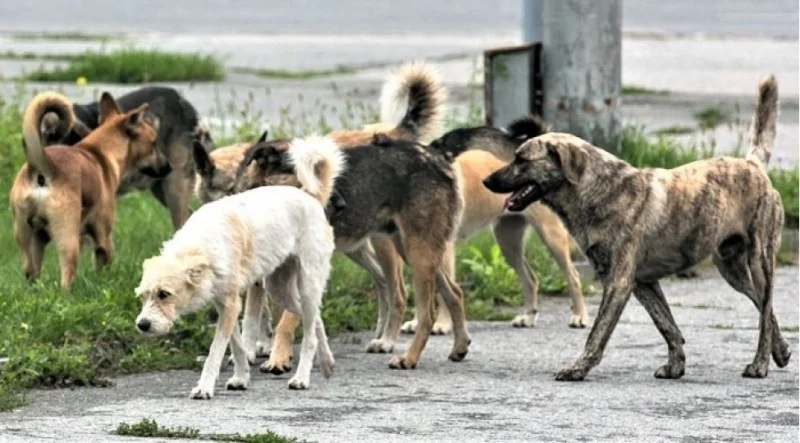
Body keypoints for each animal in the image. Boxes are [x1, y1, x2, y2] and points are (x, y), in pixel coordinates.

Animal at [10, 92, 170, 290]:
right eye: (154, 143)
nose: (169, 167)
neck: (101, 152)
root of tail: (43, 167)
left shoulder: (40, 238)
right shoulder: (103, 237)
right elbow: (104, 263)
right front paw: (105, 283)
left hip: (26, 237)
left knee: (30, 271)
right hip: (68, 238)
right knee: (66, 275)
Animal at [134, 136, 344, 398]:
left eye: (164, 294)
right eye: (143, 297)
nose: (142, 325)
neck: (201, 246)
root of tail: (310, 196)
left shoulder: (231, 305)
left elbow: (216, 350)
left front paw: (204, 387)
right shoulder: (226, 305)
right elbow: (237, 346)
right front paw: (241, 378)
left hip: (306, 283)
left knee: (309, 334)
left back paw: (301, 377)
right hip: (279, 289)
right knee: (314, 320)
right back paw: (327, 362)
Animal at [484, 75, 792, 382]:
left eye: (521, 159)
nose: (486, 181)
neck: (599, 190)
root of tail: (752, 165)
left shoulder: (618, 283)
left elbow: (597, 333)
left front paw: (578, 367)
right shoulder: (643, 283)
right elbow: (667, 325)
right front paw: (676, 365)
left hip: (760, 261)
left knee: (765, 311)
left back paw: (760, 364)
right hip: (732, 270)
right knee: (765, 307)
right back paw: (781, 350)